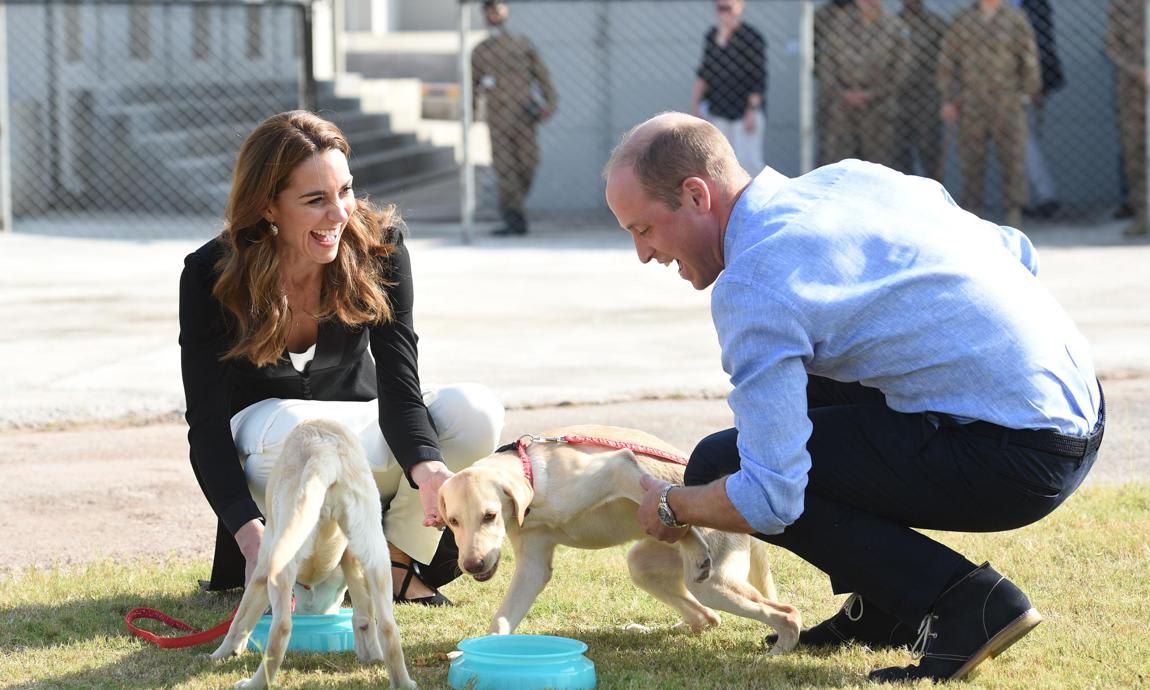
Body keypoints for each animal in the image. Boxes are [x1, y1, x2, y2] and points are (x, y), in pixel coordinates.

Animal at [211, 418, 418, 690]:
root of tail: (323, 452)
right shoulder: (352, 558)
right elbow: (363, 616)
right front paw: (370, 654)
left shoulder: (261, 569)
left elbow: (240, 620)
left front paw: (221, 653)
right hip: (376, 554)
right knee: (387, 626)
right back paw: (403, 682)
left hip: (282, 558)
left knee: (281, 629)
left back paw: (253, 683)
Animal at [437, 420, 800, 653]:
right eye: (452, 521)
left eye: (489, 515)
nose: (472, 565)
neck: (533, 475)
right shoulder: (532, 568)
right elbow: (501, 620)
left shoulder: (619, 467)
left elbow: (661, 501)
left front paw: (695, 547)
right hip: (642, 566)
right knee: (707, 618)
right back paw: (656, 628)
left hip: (713, 585)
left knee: (787, 613)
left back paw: (778, 650)